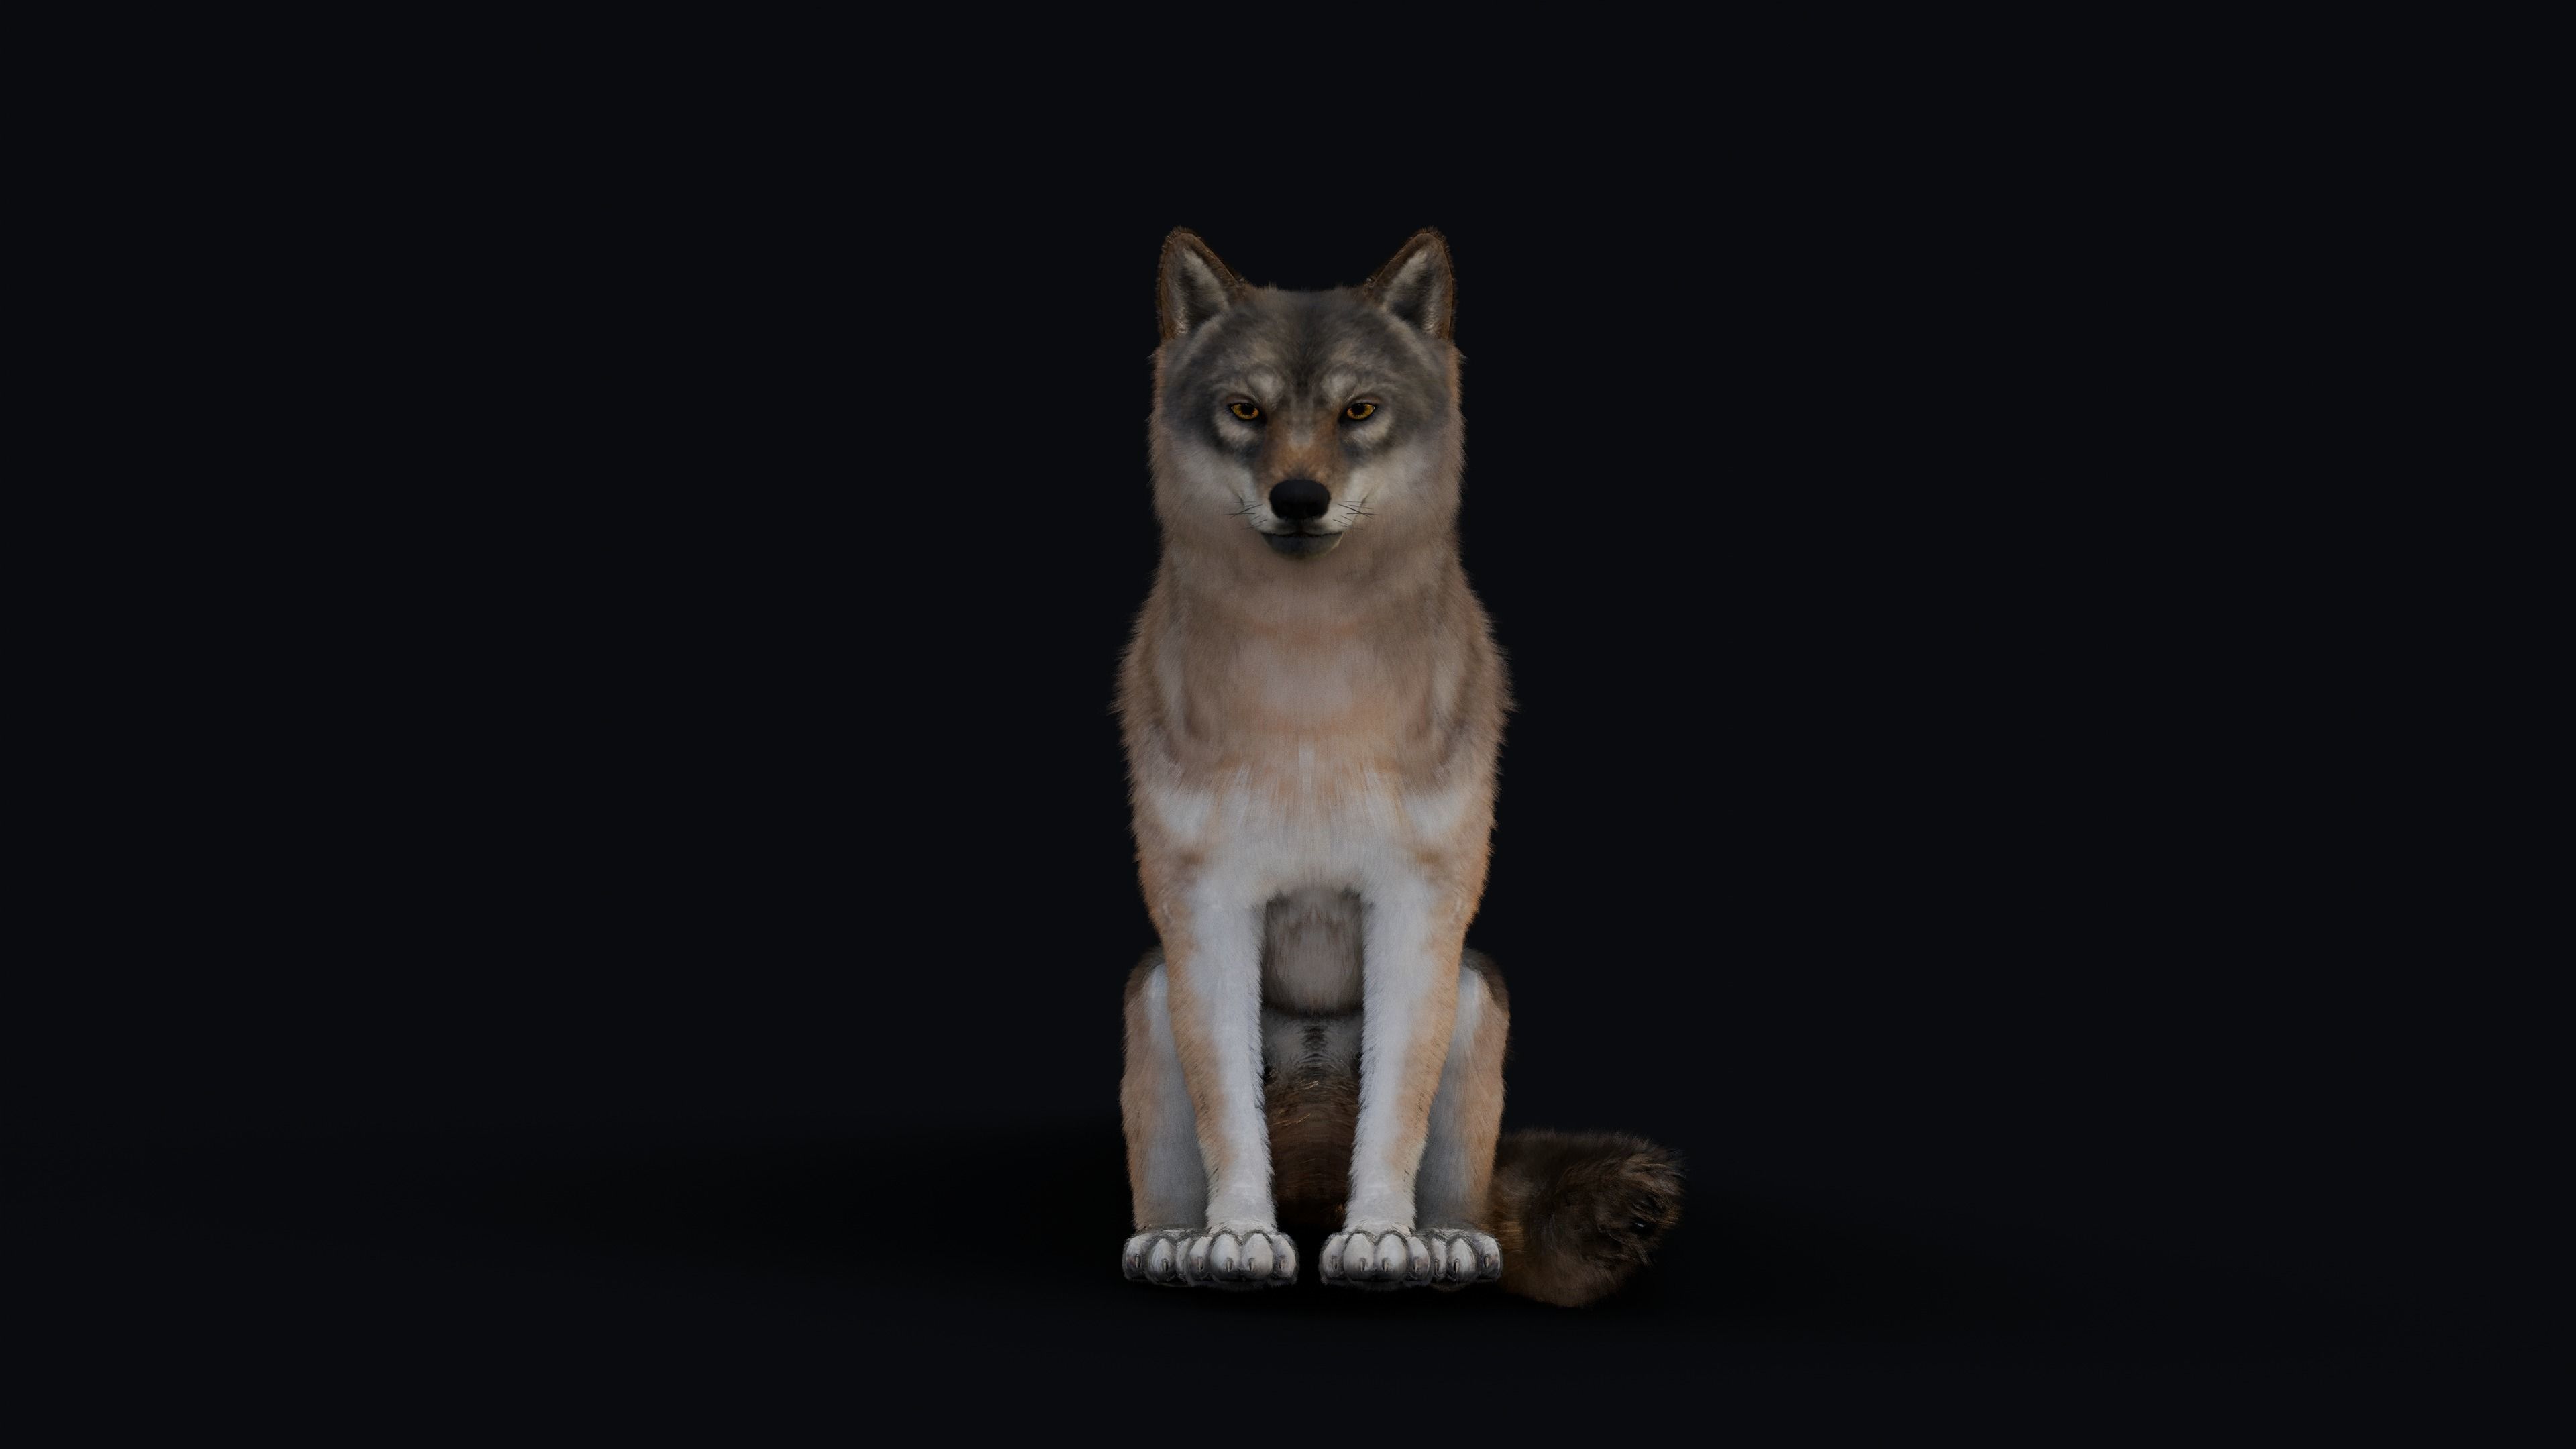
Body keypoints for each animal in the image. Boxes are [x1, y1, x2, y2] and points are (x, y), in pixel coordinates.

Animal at [1114, 229, 1683, 1306]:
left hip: (1474, 995)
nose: (1300, 498)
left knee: (1461, 1179)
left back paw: (1450, 1240)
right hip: (1153, 993)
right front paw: (1238, 1237)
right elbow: (1226, 1118)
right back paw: (1173, 1241)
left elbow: (1396, 1118)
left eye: (1359, 411)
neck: (1309, 687)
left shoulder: (1419, 905)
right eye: (1245, 411)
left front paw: (1382, 1238)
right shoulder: (1205, 909)